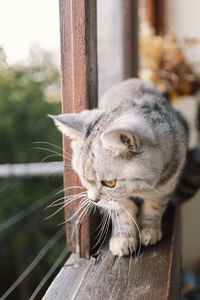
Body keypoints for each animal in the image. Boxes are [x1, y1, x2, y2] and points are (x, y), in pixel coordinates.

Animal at [48, 78, 189, 256]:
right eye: (83, 178)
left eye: (110, 183)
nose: (93, 200)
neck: (140, 188)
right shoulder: (117, 202)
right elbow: (122, 214)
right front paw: (123, 238)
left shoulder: (166, 186)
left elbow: (154, 207)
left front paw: (150, 230)